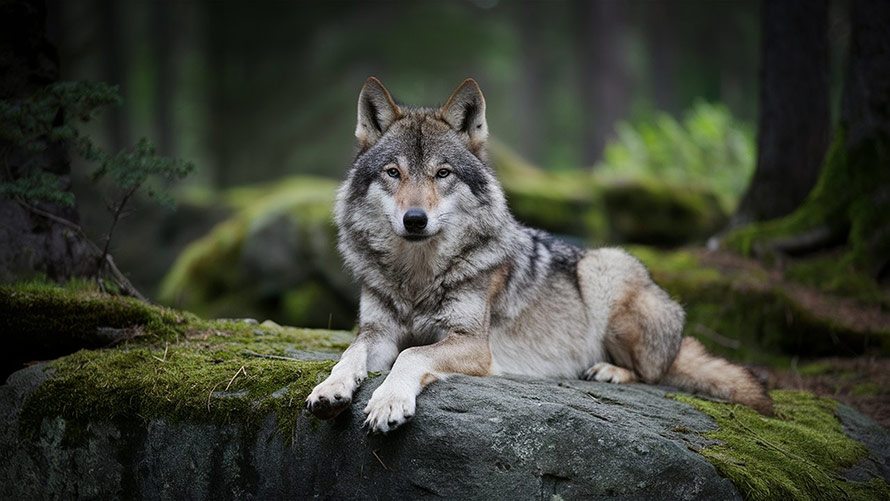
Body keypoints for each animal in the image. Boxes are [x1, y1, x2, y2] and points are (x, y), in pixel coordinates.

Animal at [305, 77, 773, 433]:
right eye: (393, 173)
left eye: (442, 173)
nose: (415, 219)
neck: (418, 277)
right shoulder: (377, 332)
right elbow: (349, 354)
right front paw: (330, 388)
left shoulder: (473, 344)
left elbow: (412, 354)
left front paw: (388, 402)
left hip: (605, 271)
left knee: (654, 374)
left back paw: (609, 370)